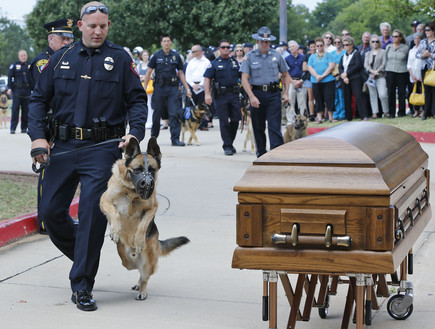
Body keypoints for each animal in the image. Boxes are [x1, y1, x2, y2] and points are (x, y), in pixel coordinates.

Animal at [103, 136, 192, 300]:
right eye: (137, 169)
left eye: (152, 170)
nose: (147, 184)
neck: (131, 191)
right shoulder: (105, 201)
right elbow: (115, 213)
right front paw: (116, 230)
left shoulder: (152, 207)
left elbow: (143, 225)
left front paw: (139, 240)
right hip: (125, 258)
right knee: (134, 267)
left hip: (148, 260)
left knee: (145, 274)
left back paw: (142, 289)